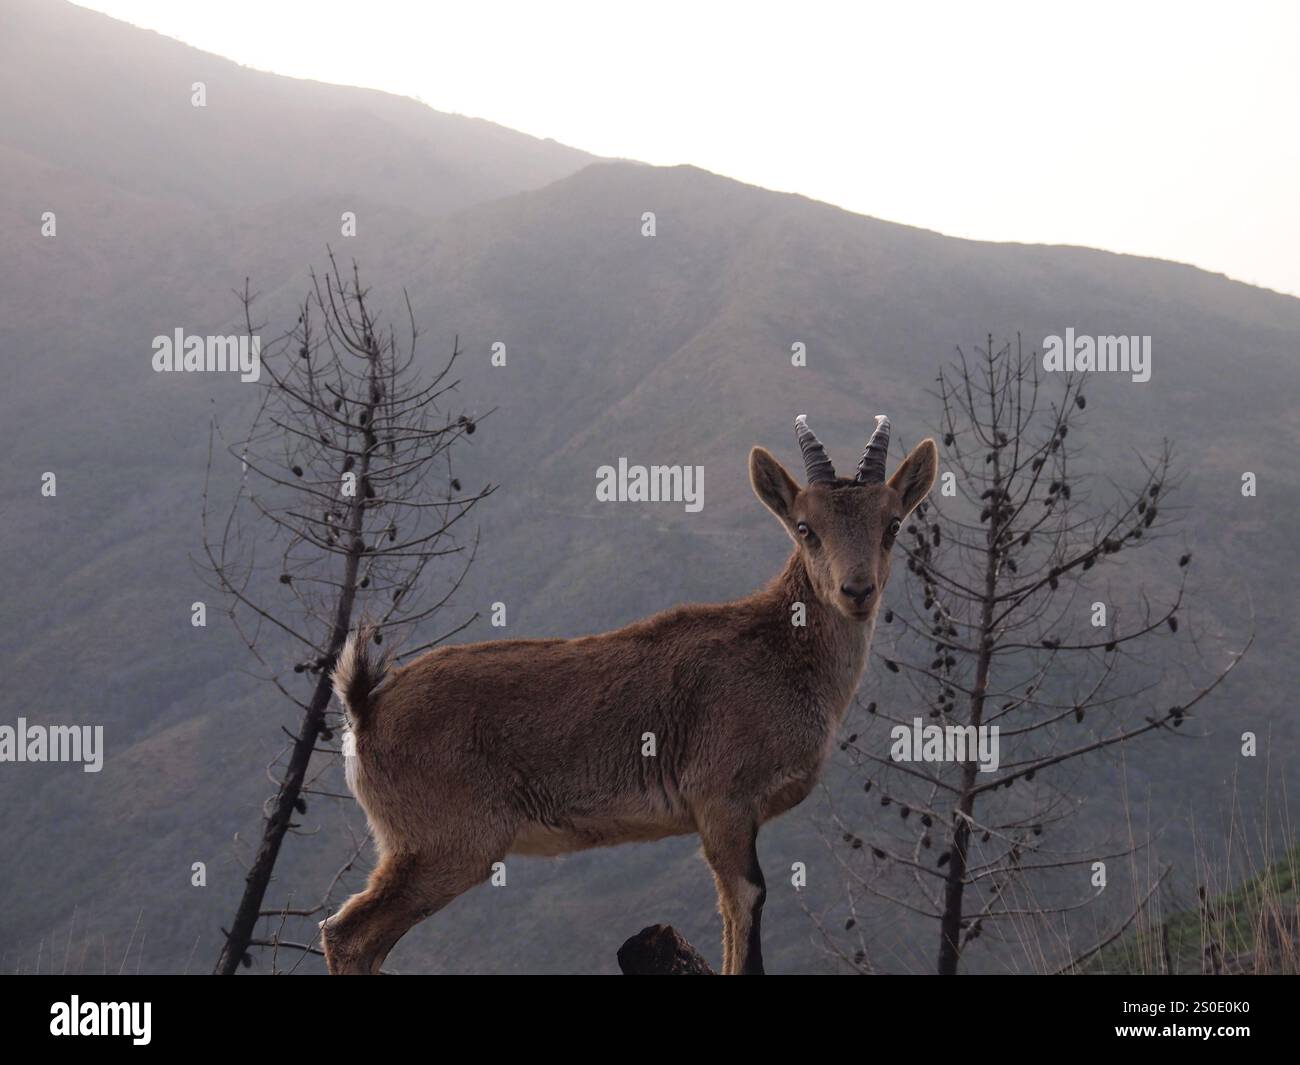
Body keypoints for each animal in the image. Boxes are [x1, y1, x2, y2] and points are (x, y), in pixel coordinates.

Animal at [323, 415, 938, 974]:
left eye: (892, 524)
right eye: (806, 527)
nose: (856, 590)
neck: (782, 656)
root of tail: (366, 708)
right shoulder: (722, 799)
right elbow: (746, 900)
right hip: (444, 843)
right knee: (348, 933)